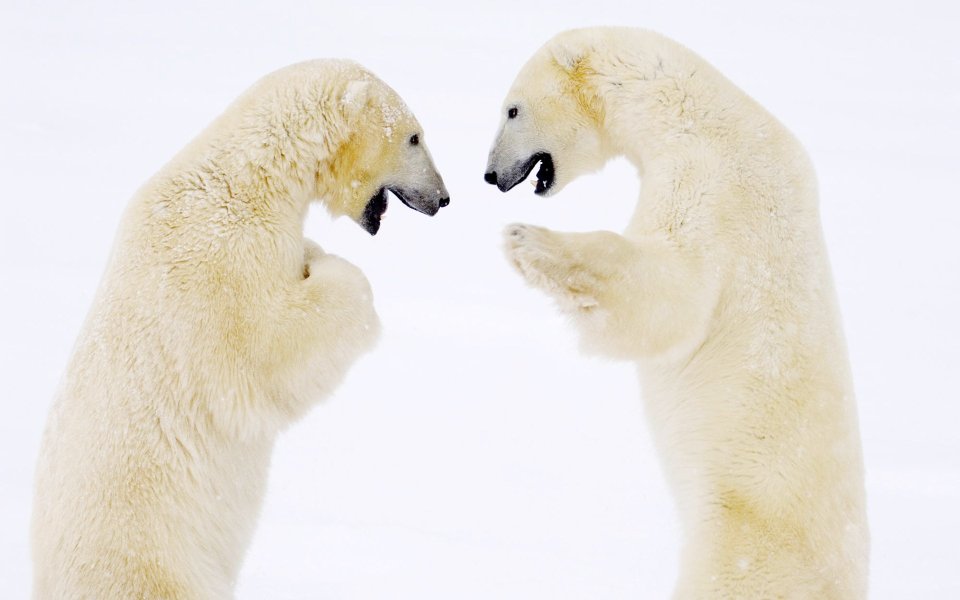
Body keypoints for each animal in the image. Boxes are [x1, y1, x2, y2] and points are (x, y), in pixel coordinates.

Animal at [31, 59, 448, 599]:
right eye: (415, 137)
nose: (443, 197)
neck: (249, 177)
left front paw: (313, 252)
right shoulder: (222, 260)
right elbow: (269, 351)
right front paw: (331, 269)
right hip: (154, 565)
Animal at [484, 28, 868, 599]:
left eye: (511, 109)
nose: (490, 174)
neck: (693, 111)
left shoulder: (713, 183)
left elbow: (673, 294)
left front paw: (528, 241)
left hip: (741, 546)